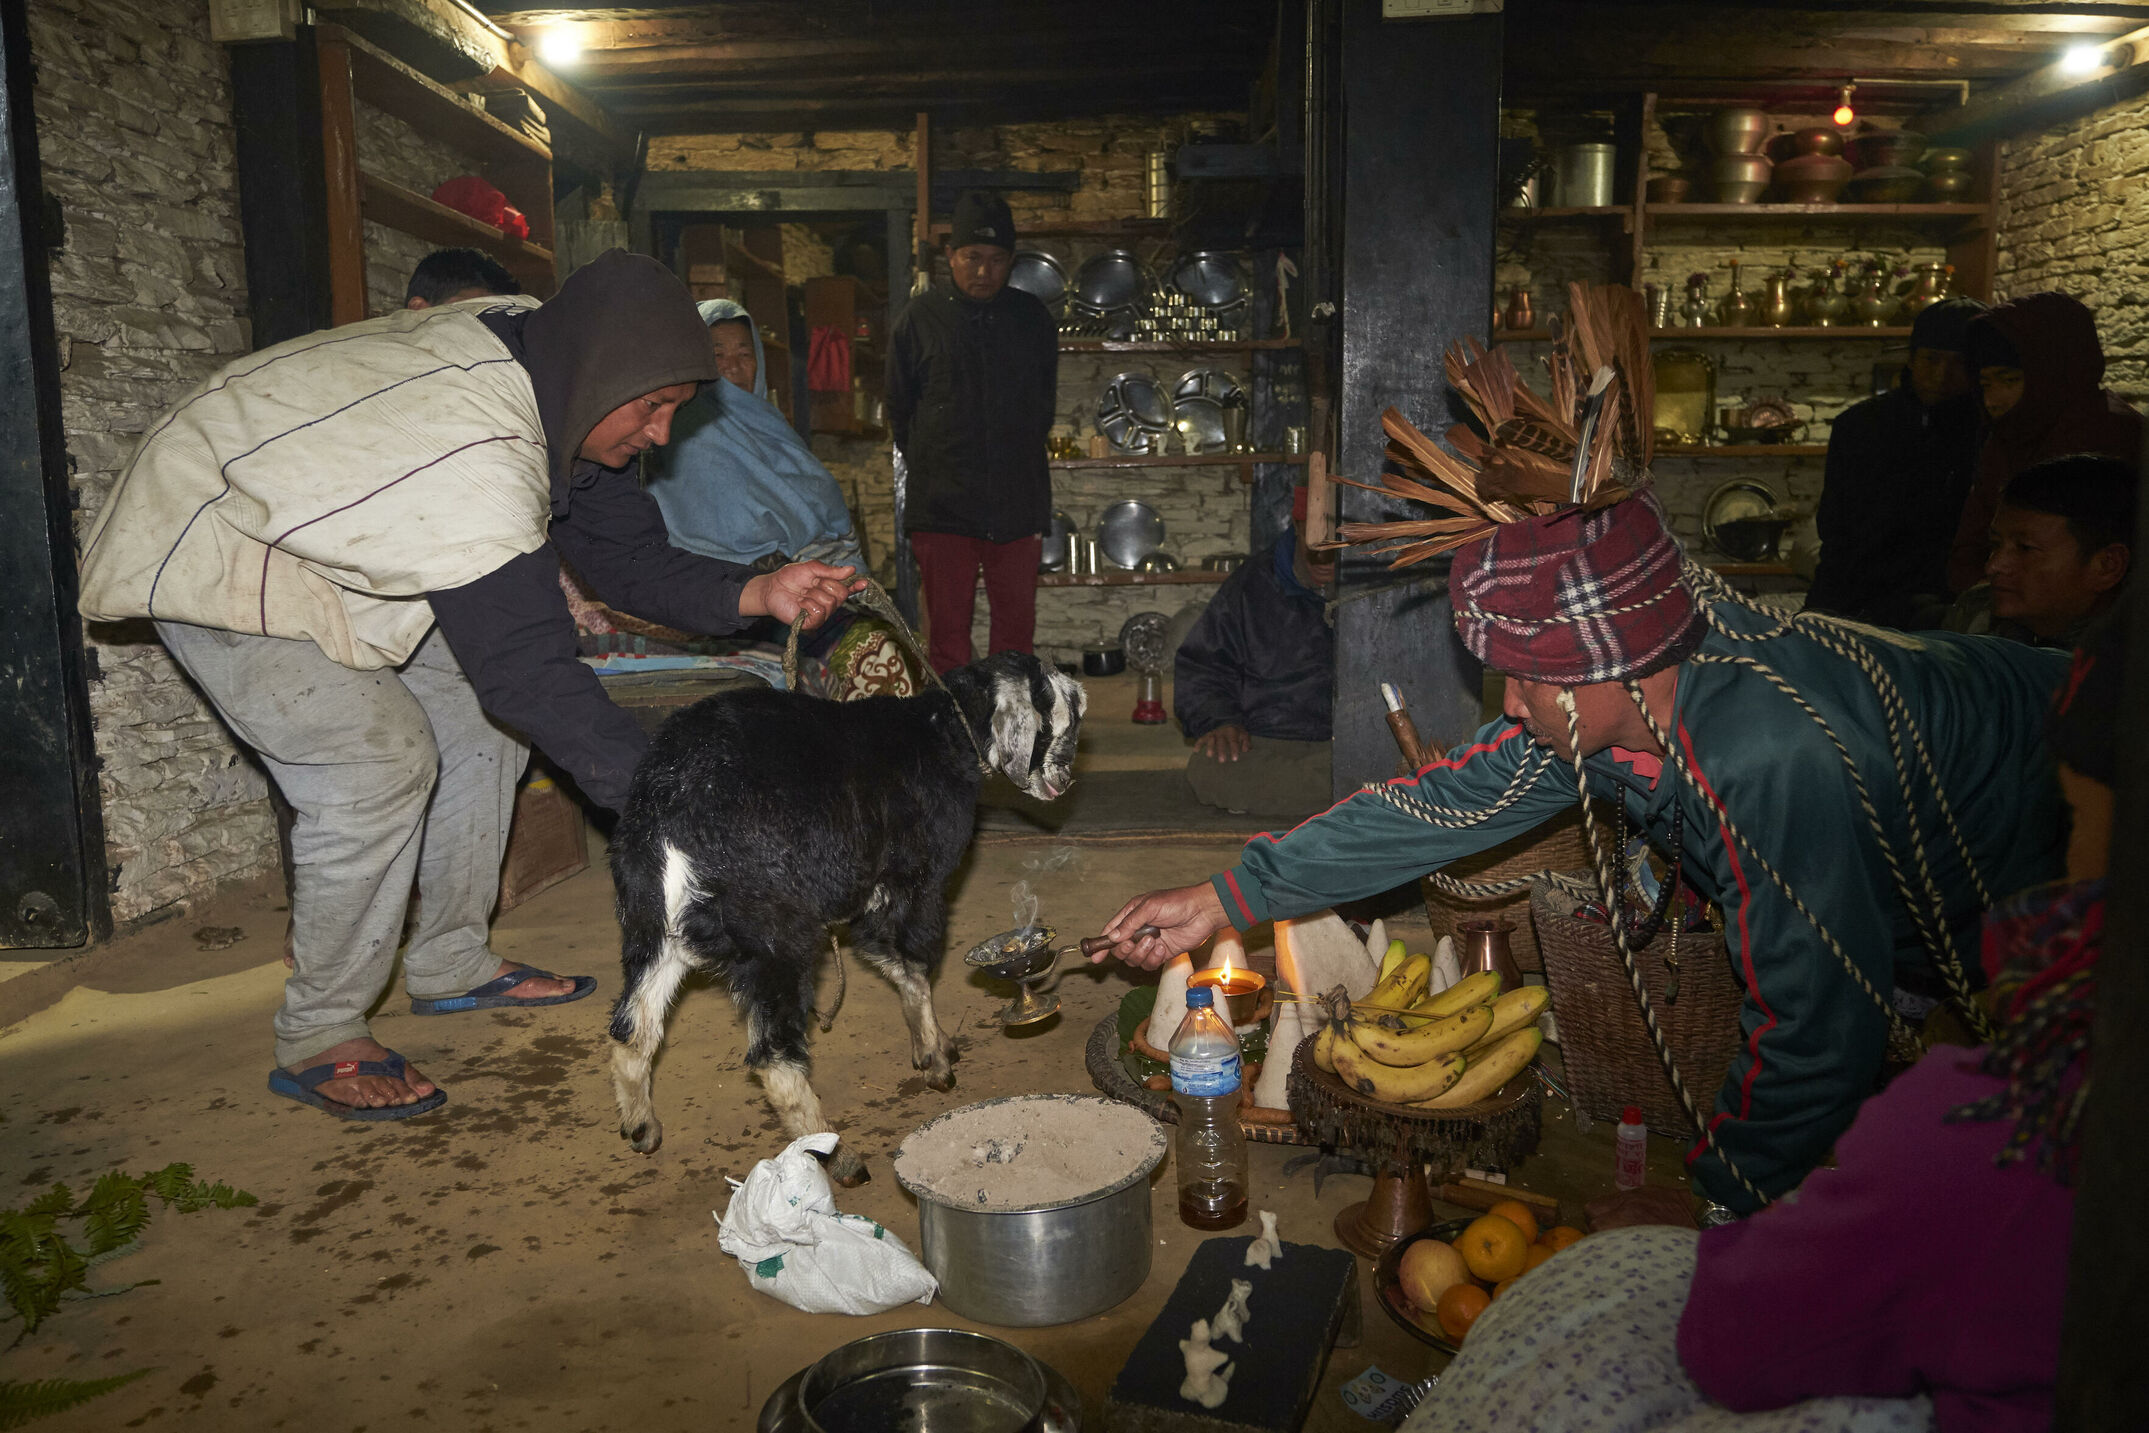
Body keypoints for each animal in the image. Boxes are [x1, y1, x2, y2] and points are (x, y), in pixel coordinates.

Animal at [601, 657, 1083, 1185]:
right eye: (1052, 723)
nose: (1065, 780)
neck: (944, 732)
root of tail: (669, 815)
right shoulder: (917, 885)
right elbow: (914, 965)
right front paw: (935, 1059)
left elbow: (889, 958)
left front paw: (934, 1044)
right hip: (777, 936)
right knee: (774, 1058)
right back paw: (837, 1155)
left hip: (652, 932)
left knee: (633, 1030)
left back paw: (641, 1126)